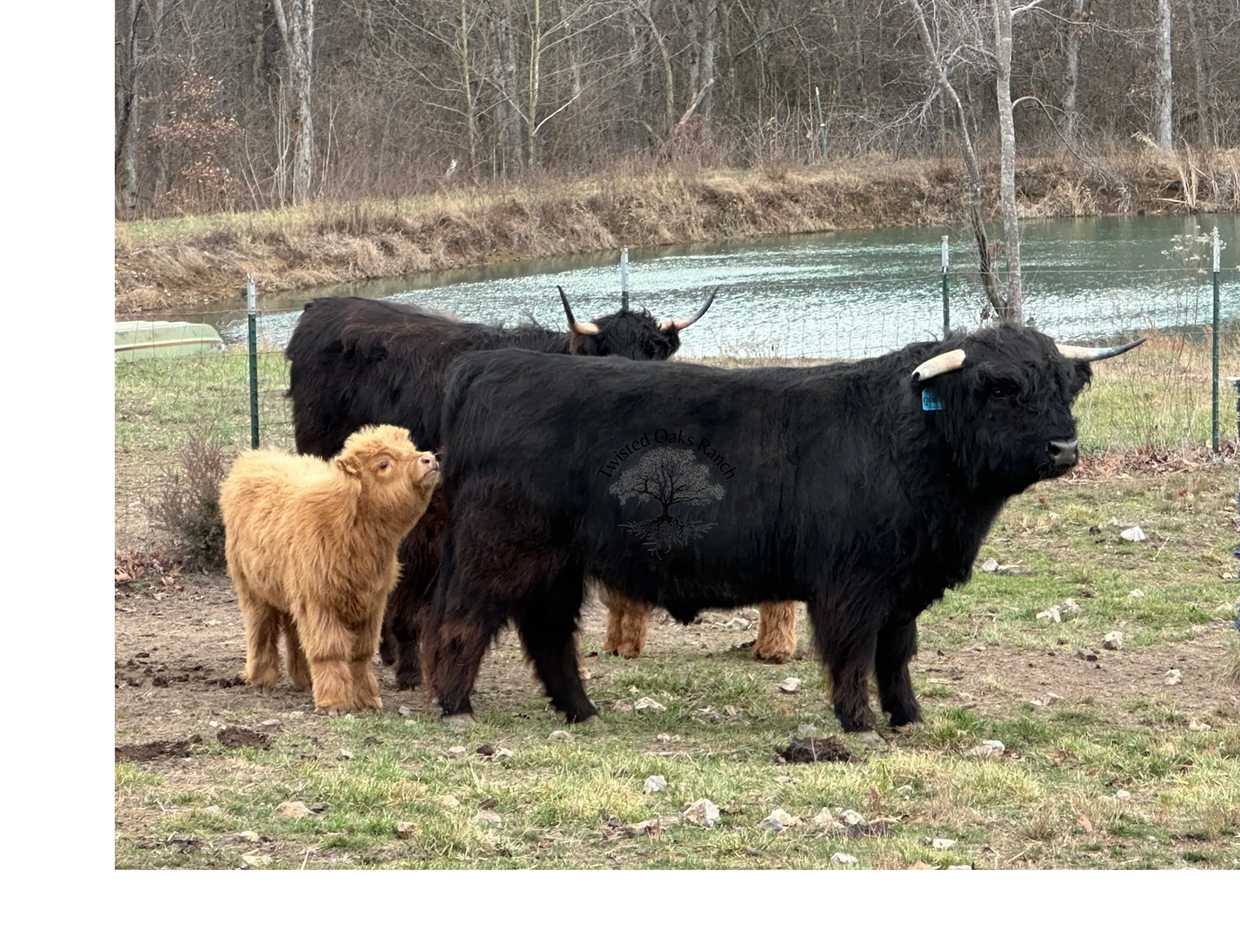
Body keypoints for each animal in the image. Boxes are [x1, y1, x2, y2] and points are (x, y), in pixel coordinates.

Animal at [220, 425, 440, 714]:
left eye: (410, 448)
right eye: (383, 463)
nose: (428, 459)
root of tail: (252, 457)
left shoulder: (371, 604)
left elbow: (360, 653)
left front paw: (367, 699)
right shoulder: (319, 602)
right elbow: (329, 650)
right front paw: (334, 702)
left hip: (290, 591)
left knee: (295, 633)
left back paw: (304, 680)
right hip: (252, 589)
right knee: (261, 631)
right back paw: (262, 679)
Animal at [424, 325, 1143, 732]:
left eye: (1064, 385)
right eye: (999, 387)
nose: (1064, 449)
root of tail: (490, 367)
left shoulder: (902, 587)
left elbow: (896, 654)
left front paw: (908, 717)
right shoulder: (852, 584)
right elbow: (853, 653)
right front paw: (858, 723)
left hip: (558, 562)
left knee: (547, 633)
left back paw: (581, 712)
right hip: (502, 549)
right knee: (463, 618)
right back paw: (457, 707)